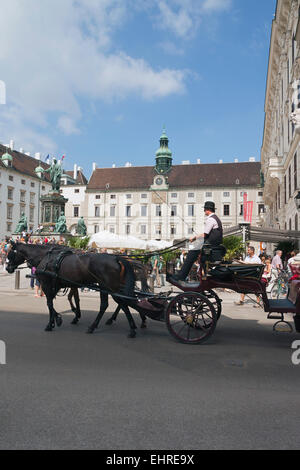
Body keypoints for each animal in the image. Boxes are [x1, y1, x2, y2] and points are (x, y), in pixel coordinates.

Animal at [6, 242, 146, 338]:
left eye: (10, 253)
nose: (7, 268)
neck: (46, 257)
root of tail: (117, 258)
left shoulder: (47, 284)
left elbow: (50, 303)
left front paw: (53, 322)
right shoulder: (64, 284)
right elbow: (72, 300)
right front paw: (66, 317)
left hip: (109, 287)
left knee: (120, 303)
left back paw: (129, 327)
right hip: (107, 287)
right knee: (115, 303)